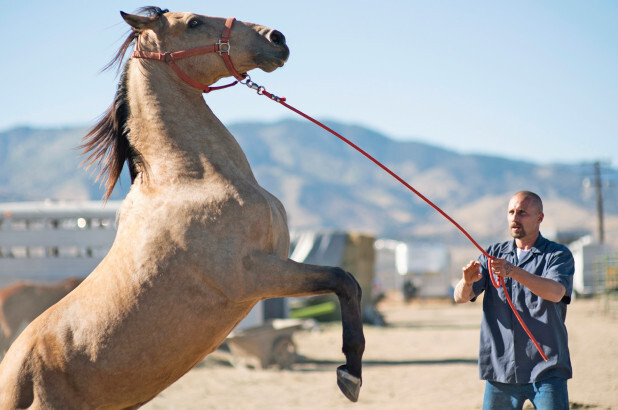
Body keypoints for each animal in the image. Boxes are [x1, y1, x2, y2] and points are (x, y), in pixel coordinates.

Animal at [0, 8, 364, 408]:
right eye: (193, 22)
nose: (277, 39)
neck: (190, 179)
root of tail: (12, 377)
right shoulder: (253, 275)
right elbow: (343, 280)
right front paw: (350, 374)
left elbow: (349, 284)